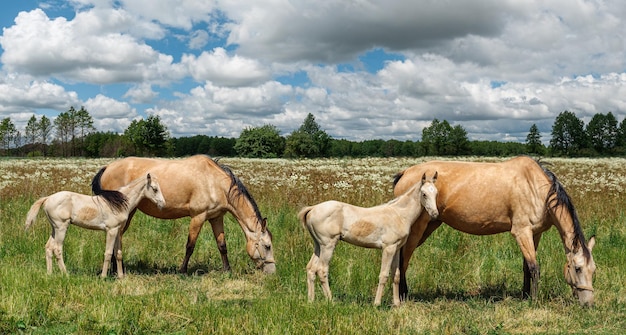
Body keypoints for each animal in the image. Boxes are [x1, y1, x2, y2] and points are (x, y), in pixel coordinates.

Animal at [25, 172, 165, 280]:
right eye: (154, 189)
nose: (163, 204)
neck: (119, 203)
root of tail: (48, 198)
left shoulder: (118, 231)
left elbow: (118, 253)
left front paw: (120, 277)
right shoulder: (111, 230)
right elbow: (108, 253)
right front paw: (103, 277)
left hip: (54, 228)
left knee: (48, 247)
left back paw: (49, 274)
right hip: (61, 228)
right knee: (57, 249)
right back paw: (66, 274)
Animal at [91, 155, 274, 276]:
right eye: (267, 246)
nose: (272, 271)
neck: (214, 182)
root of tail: (107, 168)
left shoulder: (216, 218)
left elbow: (222, 245)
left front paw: (227, 270)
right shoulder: (198, 217)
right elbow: (190, 246)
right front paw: (183, 271)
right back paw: (117, 270)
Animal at [298, 173, 438, 308]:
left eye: (436, 193)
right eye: (424, 194)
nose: (435, 214)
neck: (398, 214)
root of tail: (312, 209)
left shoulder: (396, 248)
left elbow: (396, 275)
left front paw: (397, 304)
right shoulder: (388, 248)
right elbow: (384, 275)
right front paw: (377, 304)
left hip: (318, 245)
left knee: (311, 268)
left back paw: (311, 300)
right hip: (328, 245)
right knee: (322, 270)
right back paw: (330, 301)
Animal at [394, 156, 596, 308]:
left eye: (593, 270)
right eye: (577, 268)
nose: (588, 303)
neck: (535, 187)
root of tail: (405, 173)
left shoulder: (535, 234)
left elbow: (526, 266)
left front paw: (525, 295)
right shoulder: (521, 232)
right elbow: (534, 267)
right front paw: (534, 300)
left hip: (429, 226)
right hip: (418, 229)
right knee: (404, 259)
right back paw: (403, 295)